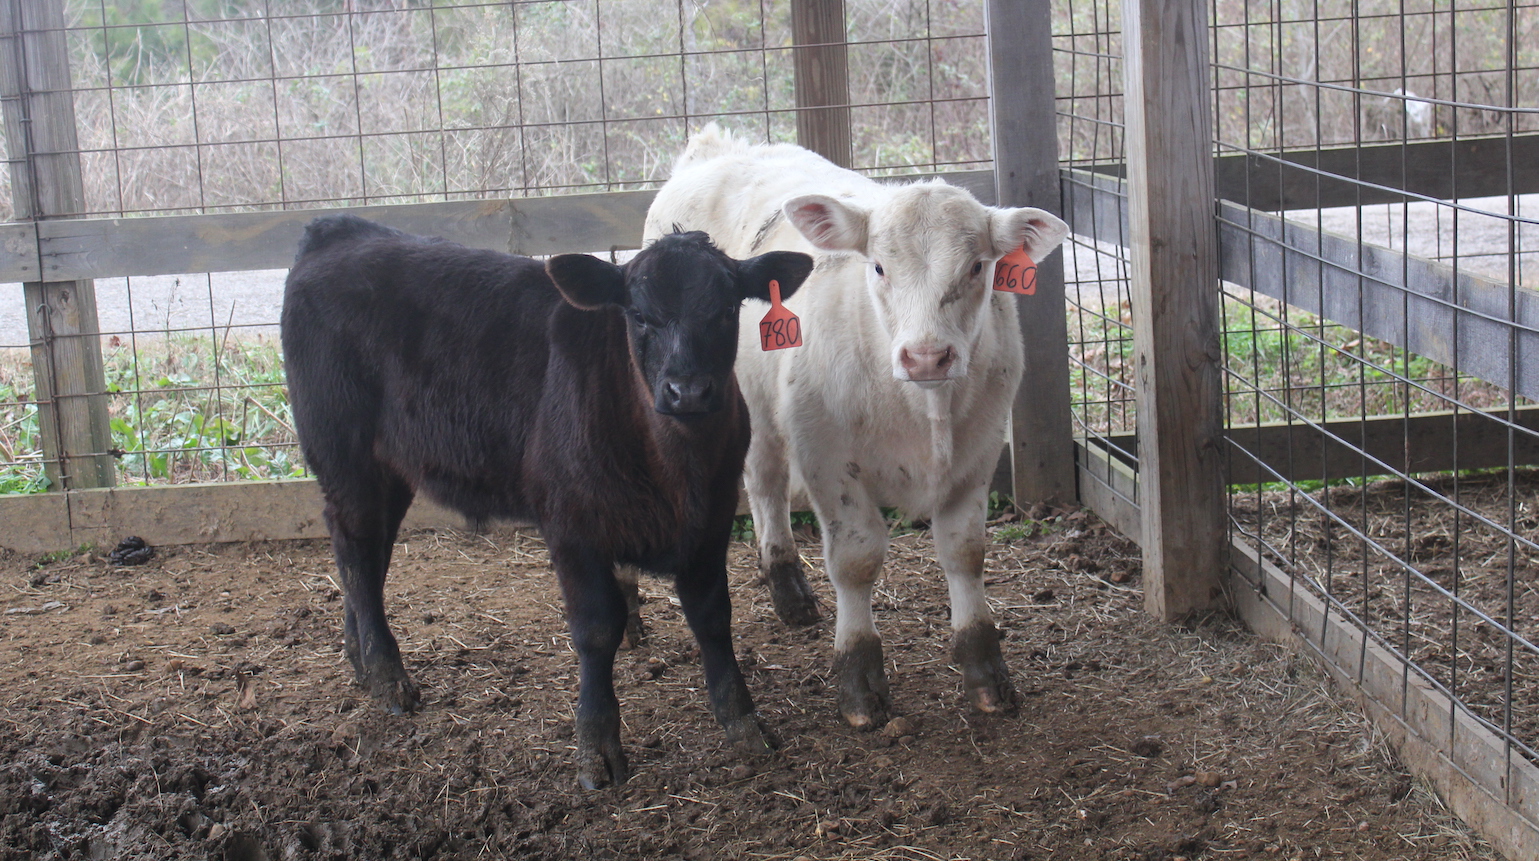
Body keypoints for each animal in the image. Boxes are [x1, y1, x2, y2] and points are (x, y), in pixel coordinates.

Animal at [280, 214, 813, 788]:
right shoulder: (572, 527)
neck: (673, 470)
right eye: (639, 315)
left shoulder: (710, 521)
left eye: (726, 309)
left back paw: (359, 659)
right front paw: (596, 746)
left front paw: (742, 721)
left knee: (365, 554)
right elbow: (597, 630)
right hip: (345, 455)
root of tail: (341, 231)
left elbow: (713, 617)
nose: (687, 391)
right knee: (356, 551)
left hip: (390, 467)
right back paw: (386, 675)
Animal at [644, 125, 1070, 730]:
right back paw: (787, 586)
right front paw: (860, 679)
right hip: (744, 404)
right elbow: (856, 559)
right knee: (765, 483)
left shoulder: (980, 451)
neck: (922, 408)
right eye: (878, 267)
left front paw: (986, 672)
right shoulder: (825, 455)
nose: (926, 356)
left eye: (976, 268)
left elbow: (964, 552)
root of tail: (715, 148)